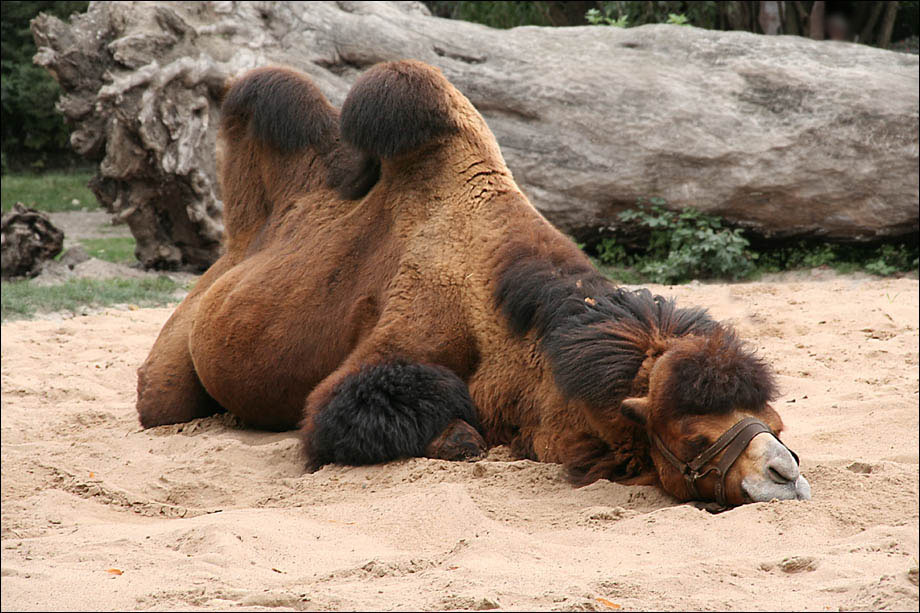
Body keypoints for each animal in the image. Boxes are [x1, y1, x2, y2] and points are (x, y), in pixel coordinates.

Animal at [138, 59, 812, 506]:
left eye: (775, 423)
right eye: (693, 435)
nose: (787, 476)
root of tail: (241, 241)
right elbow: (415, 425)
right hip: (170, 372)